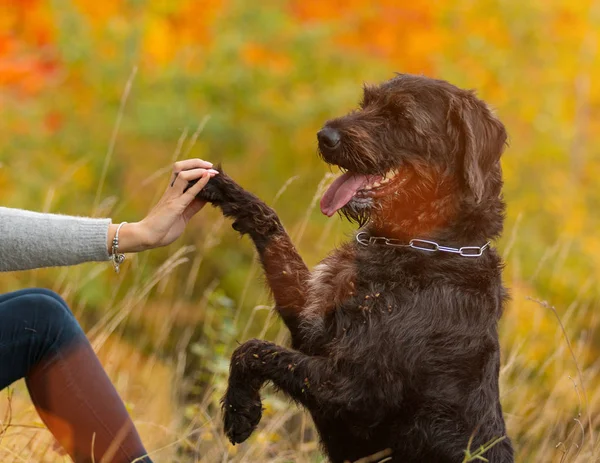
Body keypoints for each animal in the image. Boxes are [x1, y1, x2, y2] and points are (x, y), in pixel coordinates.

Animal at [195, 74, 512, 462]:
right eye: (367, 103)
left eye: (401, 116)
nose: (325, 136)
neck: (422, 247)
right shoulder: (312, 321)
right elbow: (272, 228)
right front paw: (221, 187)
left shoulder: (355, 392)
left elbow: (255, 349)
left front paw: (240, 409)